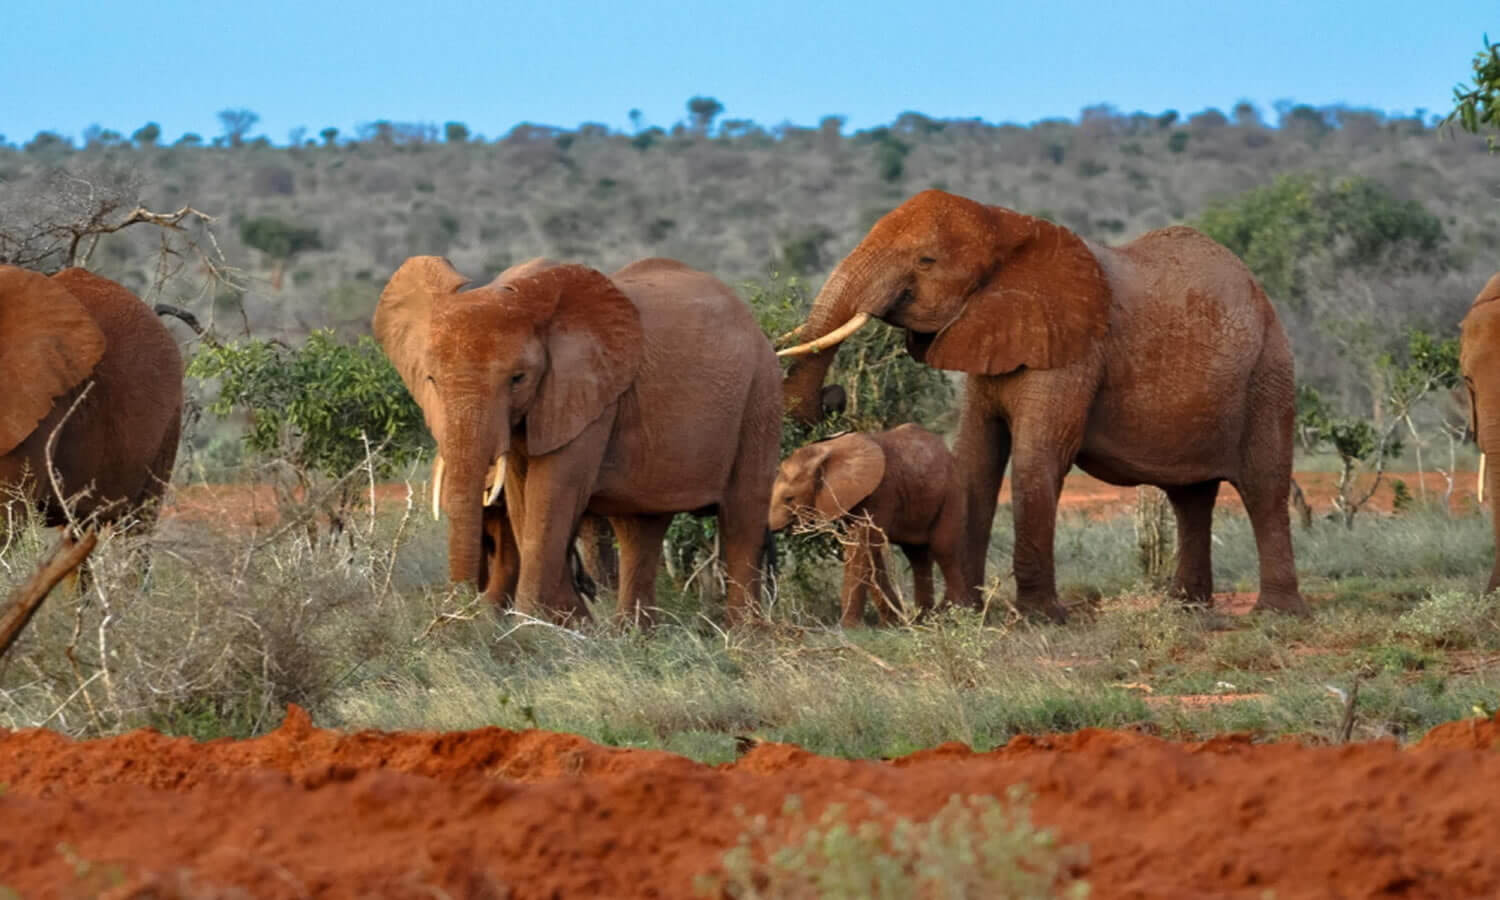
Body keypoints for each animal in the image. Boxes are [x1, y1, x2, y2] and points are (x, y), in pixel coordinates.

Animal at [372, 252, 786, 618]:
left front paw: (531, 632)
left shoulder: (588, 395)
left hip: (761, 394)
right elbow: (524, 503)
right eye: (430, 380)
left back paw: (743, 639)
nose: (456, 614)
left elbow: (551, 494)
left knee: (742, 519)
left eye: (518, 379)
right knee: (640, 529)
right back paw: (632, 638)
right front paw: (567, 624)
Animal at [774, 423, 972, 627]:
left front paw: (849, 628)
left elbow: (864, 546)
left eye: (789, 499)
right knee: (917, 555)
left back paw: (953, 613)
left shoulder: (881, 491)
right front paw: (892, 624)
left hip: (953, 492)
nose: (775, 529)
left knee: (943, 549)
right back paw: (923, 620)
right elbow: (862, 548)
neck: (828, 449)